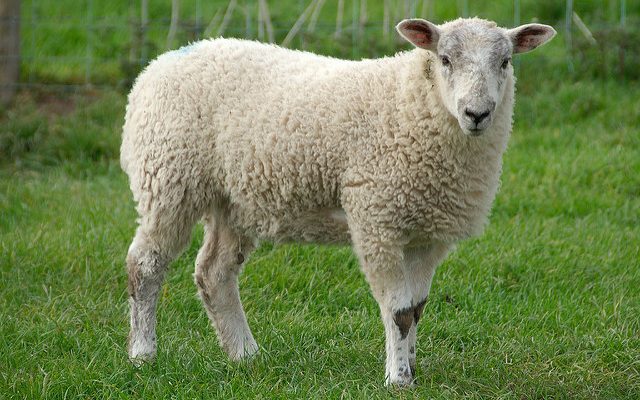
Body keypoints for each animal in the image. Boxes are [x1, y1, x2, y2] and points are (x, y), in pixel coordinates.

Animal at [120, 17, 556, 386]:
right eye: (445, 59)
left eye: (505, 62)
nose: (477, 113)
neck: (411, 104)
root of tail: (157, 65)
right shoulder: (377, 219)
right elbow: (398, 312)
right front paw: (398, 379)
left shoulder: (429, 233)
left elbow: (417, 308)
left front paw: (413, 369)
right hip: (169, 178)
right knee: (145, 265)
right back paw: (143, 354)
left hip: (235, 201)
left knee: (214, 273)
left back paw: (245, 354)